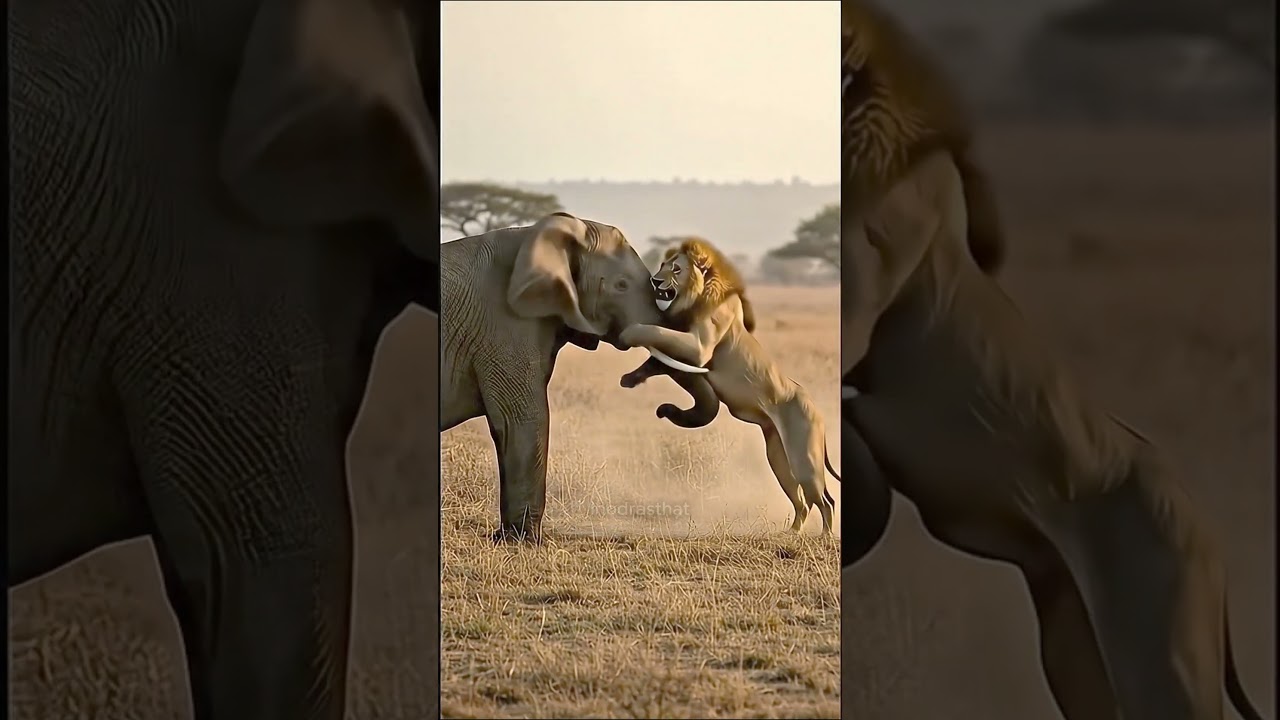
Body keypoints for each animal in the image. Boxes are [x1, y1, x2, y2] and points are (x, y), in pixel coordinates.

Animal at [440, 213, 721, 542]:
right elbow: (523, 418)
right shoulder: (505, 324)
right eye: (621, 285)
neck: (538, 236)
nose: (663, 410)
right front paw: (521, 541)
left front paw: (508, 538)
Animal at [617, 238, 842, 535]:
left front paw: (628, 332)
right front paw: (628, 379)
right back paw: (791, 533)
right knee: (802, 501)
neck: (696, 297)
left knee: (825, 501)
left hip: (804, 458)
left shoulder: (700, 346)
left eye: (676, 269)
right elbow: (656, 360)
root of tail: (817, 408)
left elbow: (657, 332)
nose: (655, 280)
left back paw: (824, 537)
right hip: (778, 458)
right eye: (663, 265)